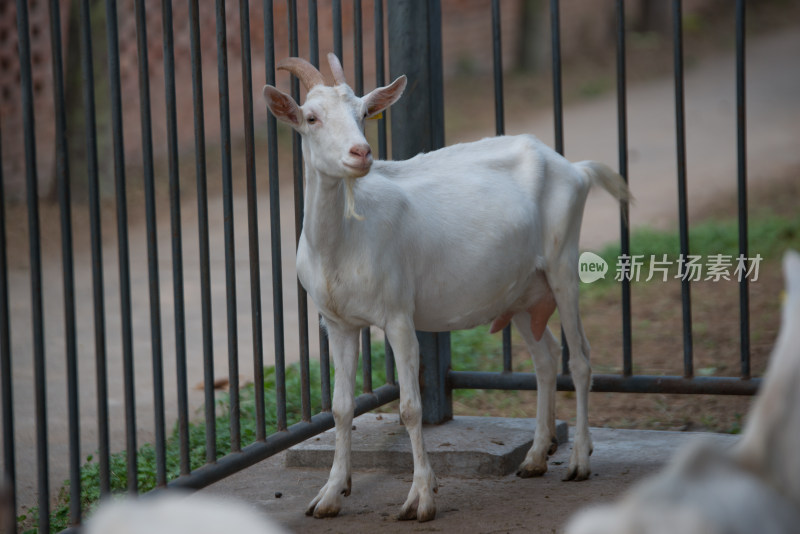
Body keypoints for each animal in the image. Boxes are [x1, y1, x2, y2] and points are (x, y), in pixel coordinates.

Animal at [262, 54, 632, 524]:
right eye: (311, 117)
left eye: (363, 113)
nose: (361, 153)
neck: (344, 239)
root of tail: (575, 169)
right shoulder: (338, 323)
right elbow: (342, 408)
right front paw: (329, 496)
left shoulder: (398, 317)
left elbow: (410, 408)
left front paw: (421, 498)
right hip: (523, 293)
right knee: (546, 358)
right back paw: (534, 458)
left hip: (563, 266)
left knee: (580, 359)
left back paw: (580, 461)